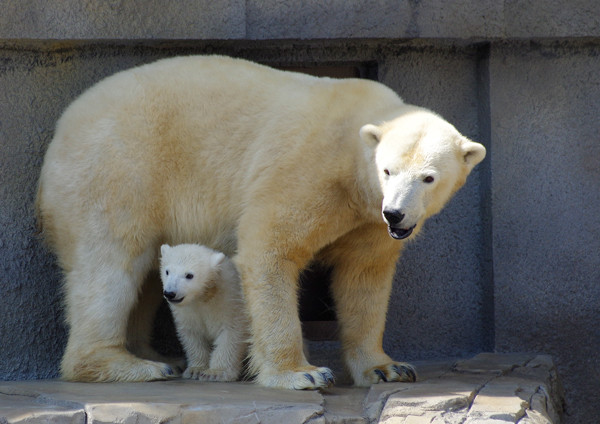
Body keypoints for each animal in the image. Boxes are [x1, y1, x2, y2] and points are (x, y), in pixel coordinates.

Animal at [159, 243, 248, 382]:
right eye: (167, 271)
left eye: (189, 275)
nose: (170, 293)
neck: (206, 295)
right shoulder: (188, 311)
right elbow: (193, 335)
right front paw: (195, 370)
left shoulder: (230, 303)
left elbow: (231, 334)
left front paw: (215, 373)